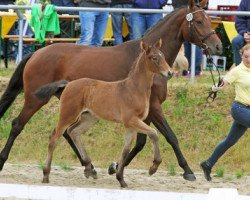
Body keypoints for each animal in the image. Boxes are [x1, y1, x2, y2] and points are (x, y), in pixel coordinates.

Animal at [34, 39, 173, 188]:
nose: (170, 73)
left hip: (89, 117)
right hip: (68, 114)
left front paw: (121, 179)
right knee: (54, 137)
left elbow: (125, 150)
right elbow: (154, 133)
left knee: (74, 132)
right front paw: (153, 167)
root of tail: (68, 84)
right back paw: (46, 174)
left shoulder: (131, 125)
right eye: (154, 58)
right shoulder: (131, 120)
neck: (134, 89)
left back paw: (89, 168)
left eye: (163, 56)